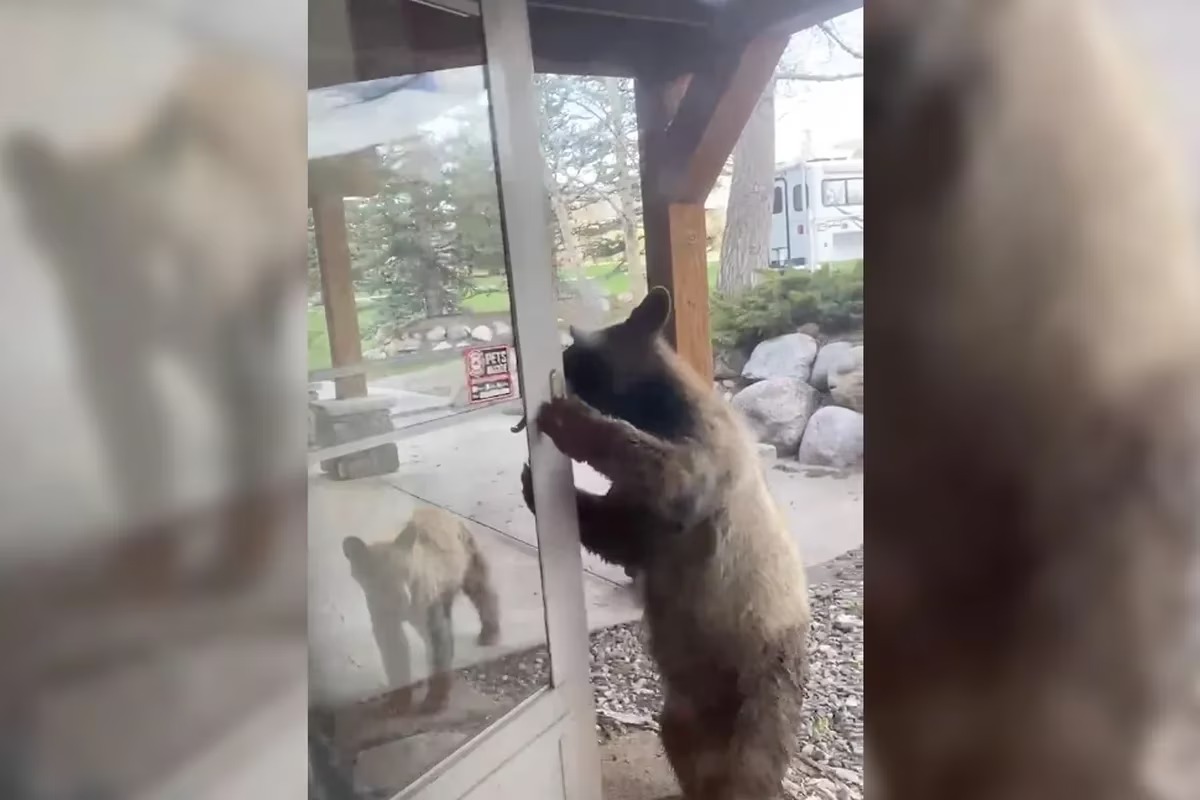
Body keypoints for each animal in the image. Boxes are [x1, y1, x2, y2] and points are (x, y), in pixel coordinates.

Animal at [523, 289, 811, 800]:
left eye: (576, 354)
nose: (559, 366)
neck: (656, 406)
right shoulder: (642, 523)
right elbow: (617, 529)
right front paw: (534, 487)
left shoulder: (706, 453)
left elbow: (667, 470)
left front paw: (569, 422)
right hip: (685, 707)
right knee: (685, 744)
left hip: (763, 681)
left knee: (752, 764)